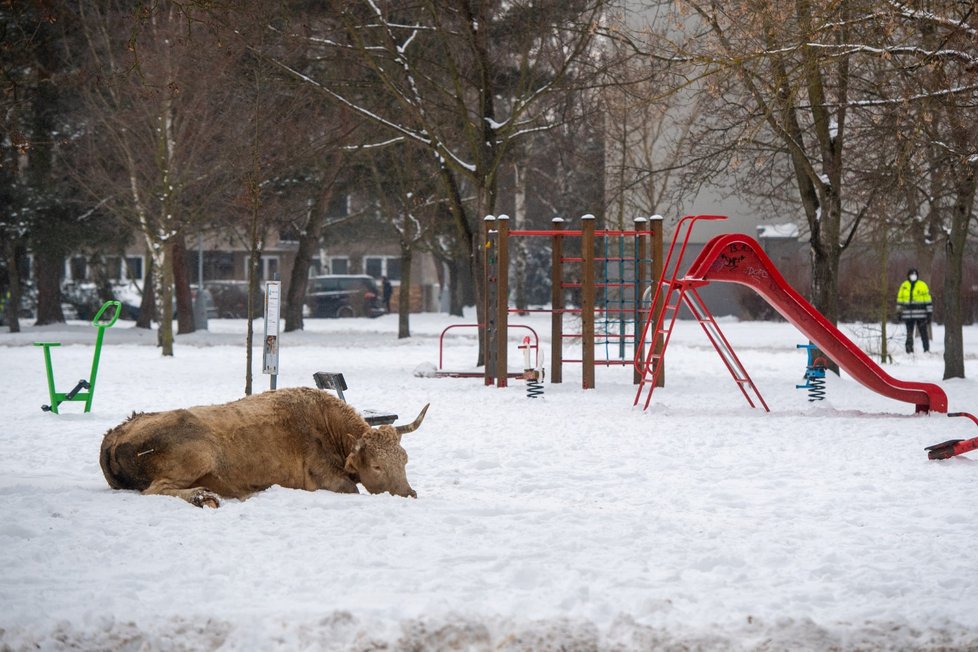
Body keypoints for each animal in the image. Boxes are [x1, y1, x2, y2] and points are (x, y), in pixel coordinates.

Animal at [98, 388, 428, 510]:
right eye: (377, 465)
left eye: (404, 460)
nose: (409, 494)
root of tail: (115, 433)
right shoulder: (325, 479)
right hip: (197, 456)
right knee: (155, 490)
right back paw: (203, 497)